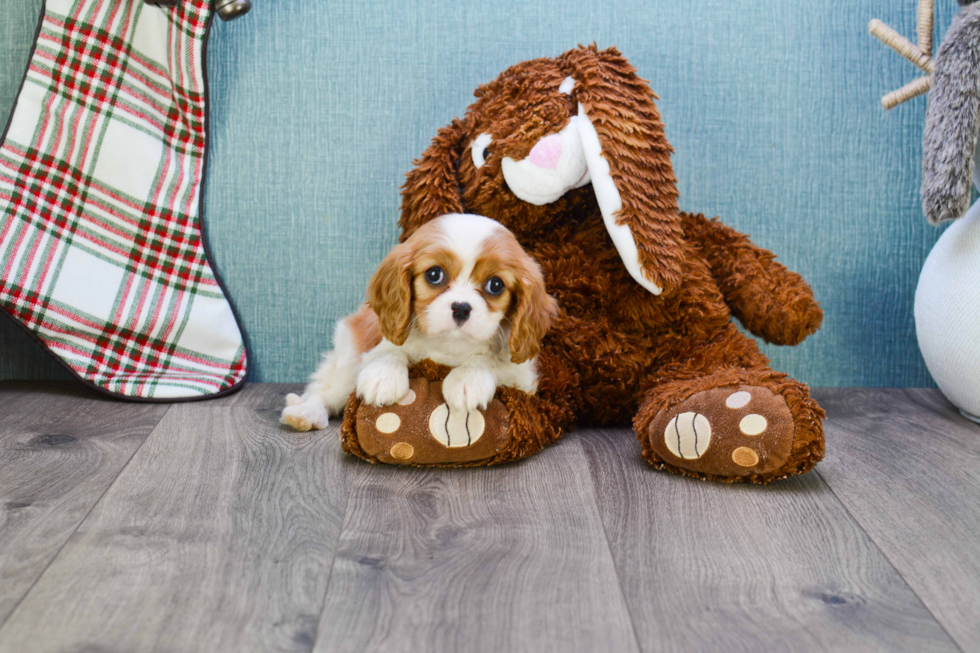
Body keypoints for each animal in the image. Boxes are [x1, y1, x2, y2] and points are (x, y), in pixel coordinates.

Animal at [284, 211, 560, 430]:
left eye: (495, 285)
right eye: (434, 274)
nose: (461, 308)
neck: (449, 345)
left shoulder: (522, 379)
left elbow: (490, 361)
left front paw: (467, 380)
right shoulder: (378, 342)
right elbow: (390, 351)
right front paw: (383, 377)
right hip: (347, 358)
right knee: (323, 391)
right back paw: (306, 414)